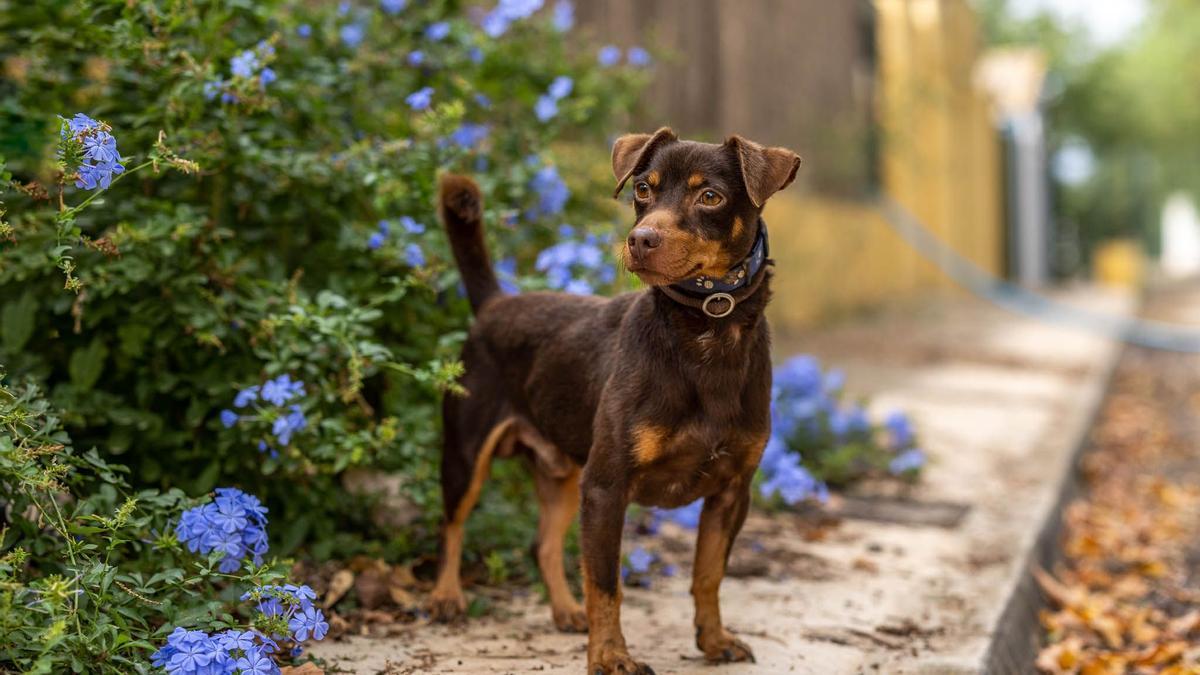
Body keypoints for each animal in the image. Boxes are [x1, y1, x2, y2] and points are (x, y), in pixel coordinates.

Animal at [427, 127, 801, 672]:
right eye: (642, 190)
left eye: (710, 197)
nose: (640, 239)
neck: (706, 330)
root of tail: (495, 303)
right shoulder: (606, 487)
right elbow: (606, 583)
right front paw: (609, 656)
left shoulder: (732, 492)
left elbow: (708, 575)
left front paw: (713, 640)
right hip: (466, 454)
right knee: (451, 524)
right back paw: (445, 596)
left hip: (562, 474)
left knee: (542, 544)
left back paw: (566, 611)